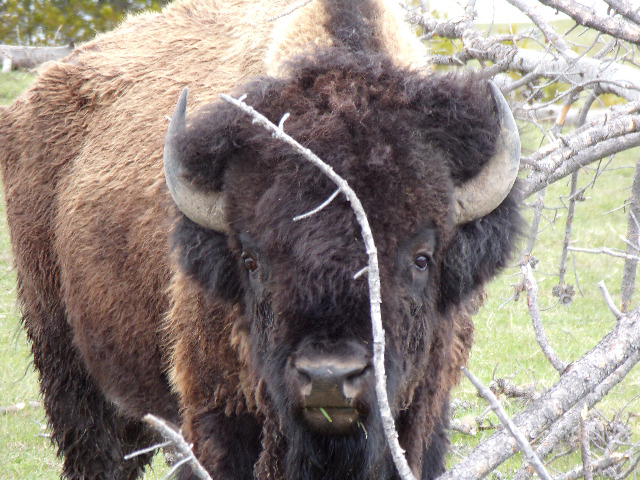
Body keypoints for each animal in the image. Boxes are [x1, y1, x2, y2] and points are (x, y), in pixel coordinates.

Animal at [0, 0, 520, 480]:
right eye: (251, 261)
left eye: (421, 258)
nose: (329, 378)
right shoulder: (217, 415)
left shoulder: (424, 414)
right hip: (63, 356)